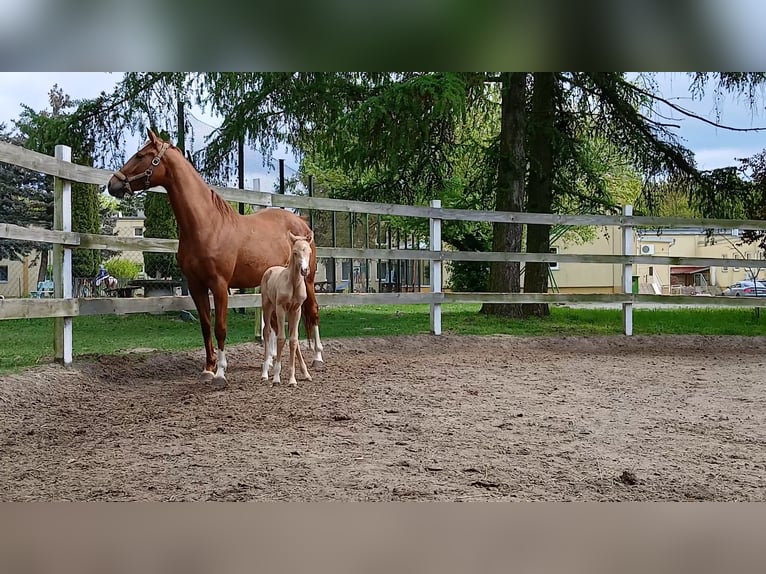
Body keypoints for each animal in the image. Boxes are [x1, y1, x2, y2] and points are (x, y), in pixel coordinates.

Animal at [260, 231, 314, 387]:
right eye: (295, 252)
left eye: (309, 251)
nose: (304, 270)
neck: (293, 284)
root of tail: (270, 269)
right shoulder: (281, 308)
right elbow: (281, 338)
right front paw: (276, 377)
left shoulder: (296, 309)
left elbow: (293, 340)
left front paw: (292, 379)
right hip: (268, 307)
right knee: (267, 331)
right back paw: (265, 373)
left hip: (286, 313)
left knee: (290, 336)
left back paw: (306, 373)